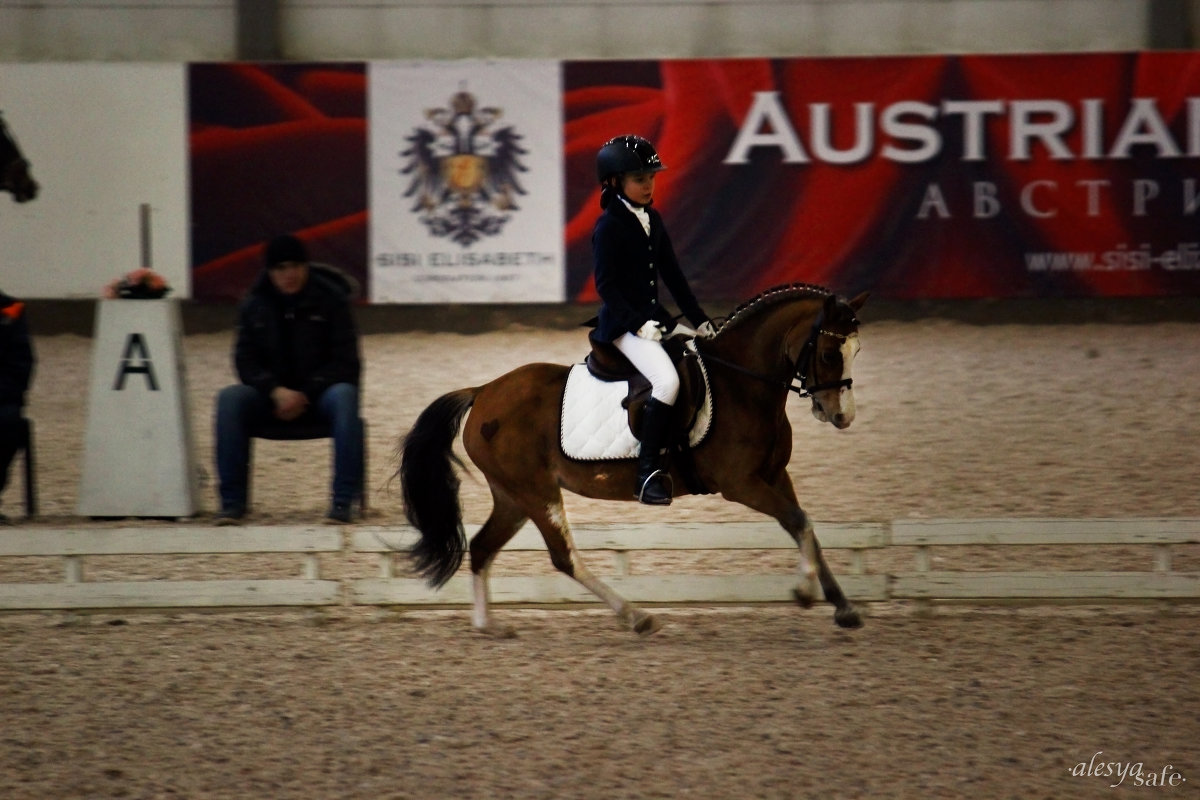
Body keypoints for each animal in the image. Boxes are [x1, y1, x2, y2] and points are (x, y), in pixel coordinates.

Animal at [398, 284, 868, 633]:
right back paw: (636, 616)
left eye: (857, 353)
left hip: (512, 496)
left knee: (482, 547)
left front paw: (842, 606)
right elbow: (797, 521)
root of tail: (482, 392)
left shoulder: (775, 475)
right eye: (830, 354)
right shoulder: (740, 484)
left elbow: (805, 525)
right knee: (563, 557)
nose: (842, 417)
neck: (741, 384)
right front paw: (804, 593)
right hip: (535, 491)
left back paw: (487, 625)